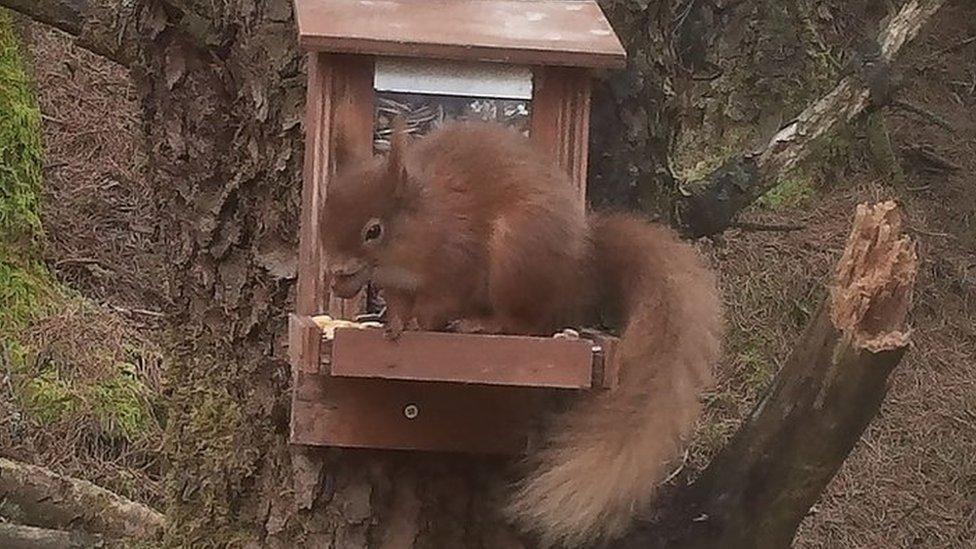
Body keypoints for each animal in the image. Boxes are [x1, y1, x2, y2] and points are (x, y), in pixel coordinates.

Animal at [320, 114, 724, 544]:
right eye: (324, 215)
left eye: (373, 231)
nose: (336, 276)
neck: (425, 218)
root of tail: (583, 268)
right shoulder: (397, 285)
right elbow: (398, 303)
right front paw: (391, 324)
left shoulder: (458, 258)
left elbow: (439, 301)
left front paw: (419, 324)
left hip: (516, 256)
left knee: (526, 322)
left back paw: (482, 324)